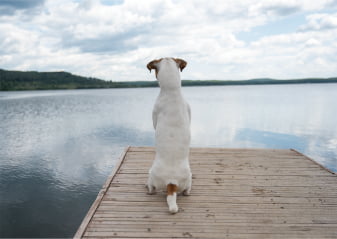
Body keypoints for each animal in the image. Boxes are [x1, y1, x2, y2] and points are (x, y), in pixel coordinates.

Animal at [145, 57, 192, 214]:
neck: (172, 91)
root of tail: (172, 182)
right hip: (189, 177)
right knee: (187, 190)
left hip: (151, 175)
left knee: (152, 188)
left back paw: (148, 189)